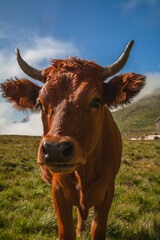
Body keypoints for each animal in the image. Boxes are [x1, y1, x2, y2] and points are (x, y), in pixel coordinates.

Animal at [0, 40, 146, 239]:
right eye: (40, 103)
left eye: (95, 101)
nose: (55, 149)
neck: (84, 172)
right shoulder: (58, 192)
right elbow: (66, 231)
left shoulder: (108, 191)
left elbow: (97, 230)